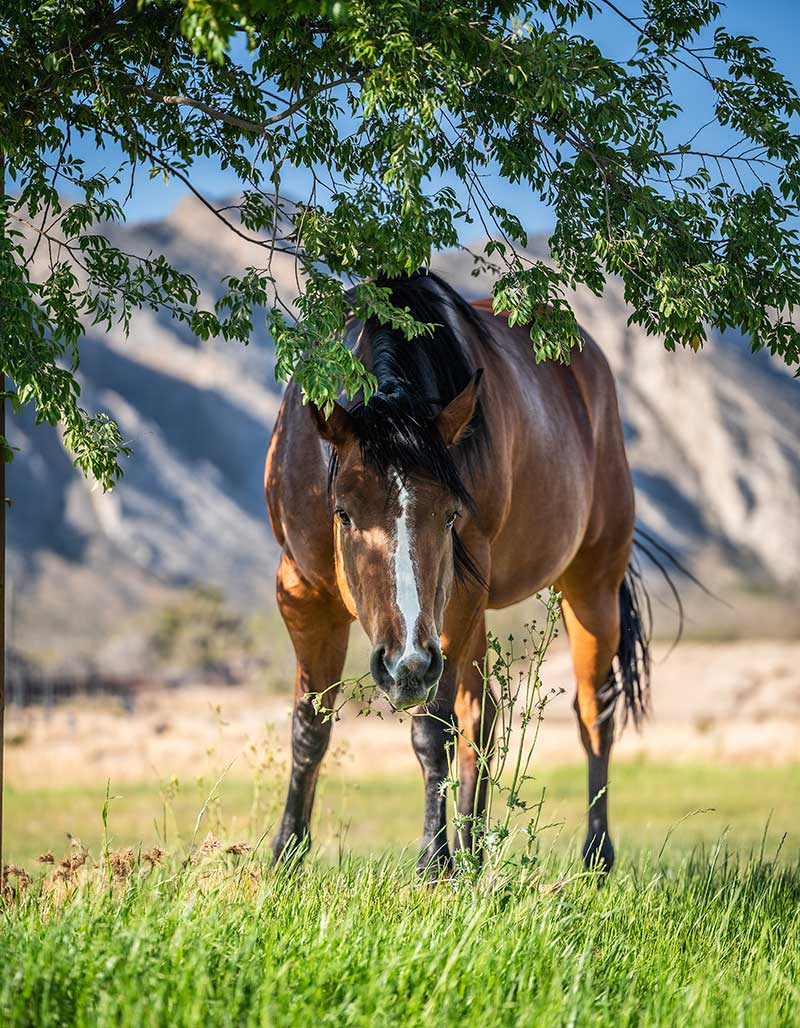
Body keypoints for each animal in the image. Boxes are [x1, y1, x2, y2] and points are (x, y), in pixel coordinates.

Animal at [262, 269, 649, 871]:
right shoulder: (301, 593)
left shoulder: (455, 601)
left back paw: (594, 856)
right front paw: (286, 856)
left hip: (591, 585)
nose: (404, 665)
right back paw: (474, 854)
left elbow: (431, 732)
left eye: (449, 514)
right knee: (483, 719)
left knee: (594, 711)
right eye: (342, 512)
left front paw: (433, 862)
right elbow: (310, 727)